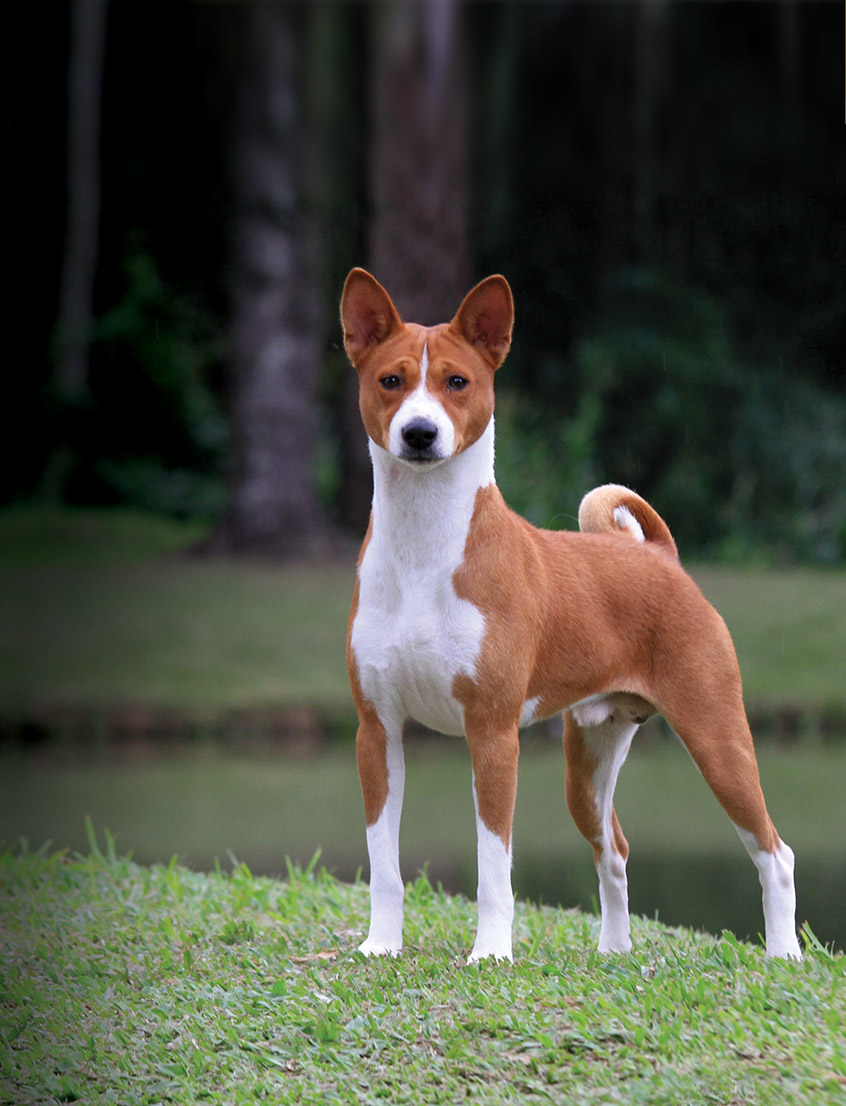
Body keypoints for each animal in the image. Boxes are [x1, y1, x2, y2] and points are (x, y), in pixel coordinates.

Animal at [338, 267, 800, 960]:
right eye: (390, 381)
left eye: (457, 382)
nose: (420, 433)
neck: (424, 552)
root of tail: (661, 557)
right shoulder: (378, 730)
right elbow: (383, 863)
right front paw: (380, 947)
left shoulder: (492, 732)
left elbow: (493, 866)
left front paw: (490, 954)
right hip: (588, 762)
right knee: (616, 850)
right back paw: (614, 951)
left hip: (718, 736)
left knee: (775, 851)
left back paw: (784, 954)